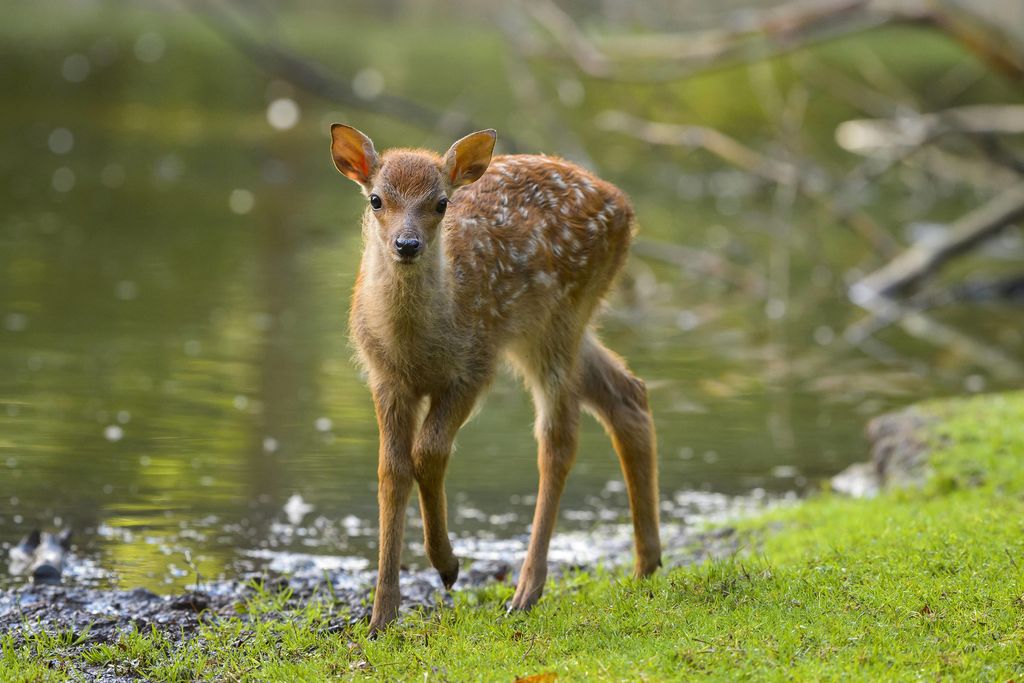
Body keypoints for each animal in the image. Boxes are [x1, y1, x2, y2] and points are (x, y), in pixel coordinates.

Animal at [327, 124, 663, 634]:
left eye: (441, 203)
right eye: (377, 199)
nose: (407, 245)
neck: (419, 346)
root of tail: (623, 206)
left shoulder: (474, 367)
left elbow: (428, 452)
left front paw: (447, 565)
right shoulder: (385, 378)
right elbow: (392, 471)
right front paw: (381, 618)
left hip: (558, 319)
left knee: (559, 439)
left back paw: (526, 591)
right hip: (545, 333)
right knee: (627, 395)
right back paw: (647, 566)